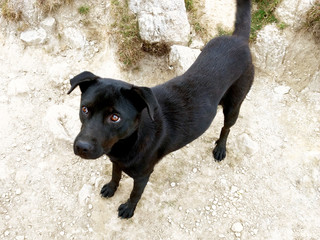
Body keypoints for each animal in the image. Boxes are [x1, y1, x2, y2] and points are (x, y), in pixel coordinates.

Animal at [68, 0, 255, 218]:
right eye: (85, 109)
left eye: (115, 117)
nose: (81, 147)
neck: (130, 140)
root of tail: (238, 39)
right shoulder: (116, 161)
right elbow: (115, 175)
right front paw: (111, 188)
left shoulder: (143, 175)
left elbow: (135, 193)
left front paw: (129, 209)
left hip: (234, 105)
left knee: (227, 128)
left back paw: (220, 148)